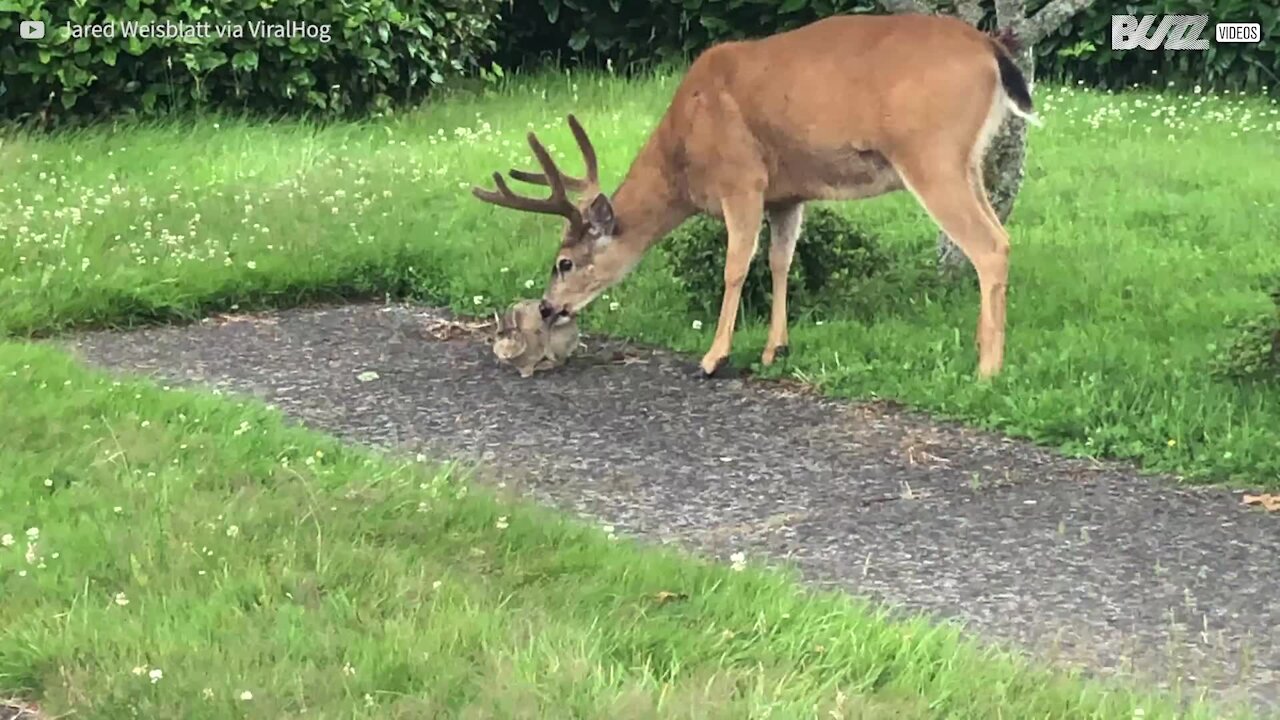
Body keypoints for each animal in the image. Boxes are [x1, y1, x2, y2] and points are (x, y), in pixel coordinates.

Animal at [471, 11, 1039, 379]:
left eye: (564, 262)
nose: (547, 309)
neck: (684, 151)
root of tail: (992, 51)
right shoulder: (787, 193)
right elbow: (779, 261)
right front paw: (774, 350)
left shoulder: (741, 177)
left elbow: (736, 266)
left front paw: (713, 357)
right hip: (966, 160)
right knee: (999, 234)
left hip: (930, 152)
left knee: (991, 245)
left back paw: (988, 369)